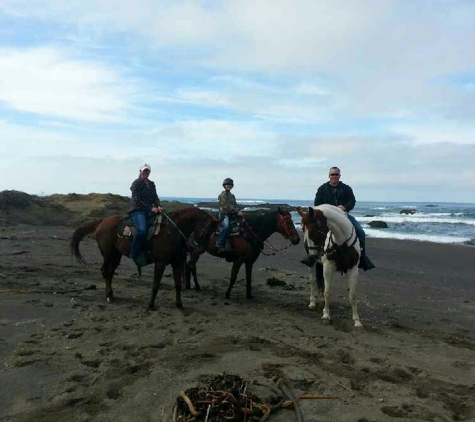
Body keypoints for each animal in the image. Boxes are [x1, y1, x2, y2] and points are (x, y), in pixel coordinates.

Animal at [70, 208, 219, 310]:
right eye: (207, 230)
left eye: (213, 233)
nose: (199, 250)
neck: (171, 232)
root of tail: (102, 221)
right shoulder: (160, 263)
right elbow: (156, 284)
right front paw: (151, 305)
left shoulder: (176, 263)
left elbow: (177, 284)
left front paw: (179, 304)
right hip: (109, 255)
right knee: (105, 271)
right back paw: (108, 296)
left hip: (116, 256)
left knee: (110, 272)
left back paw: (111, 295)